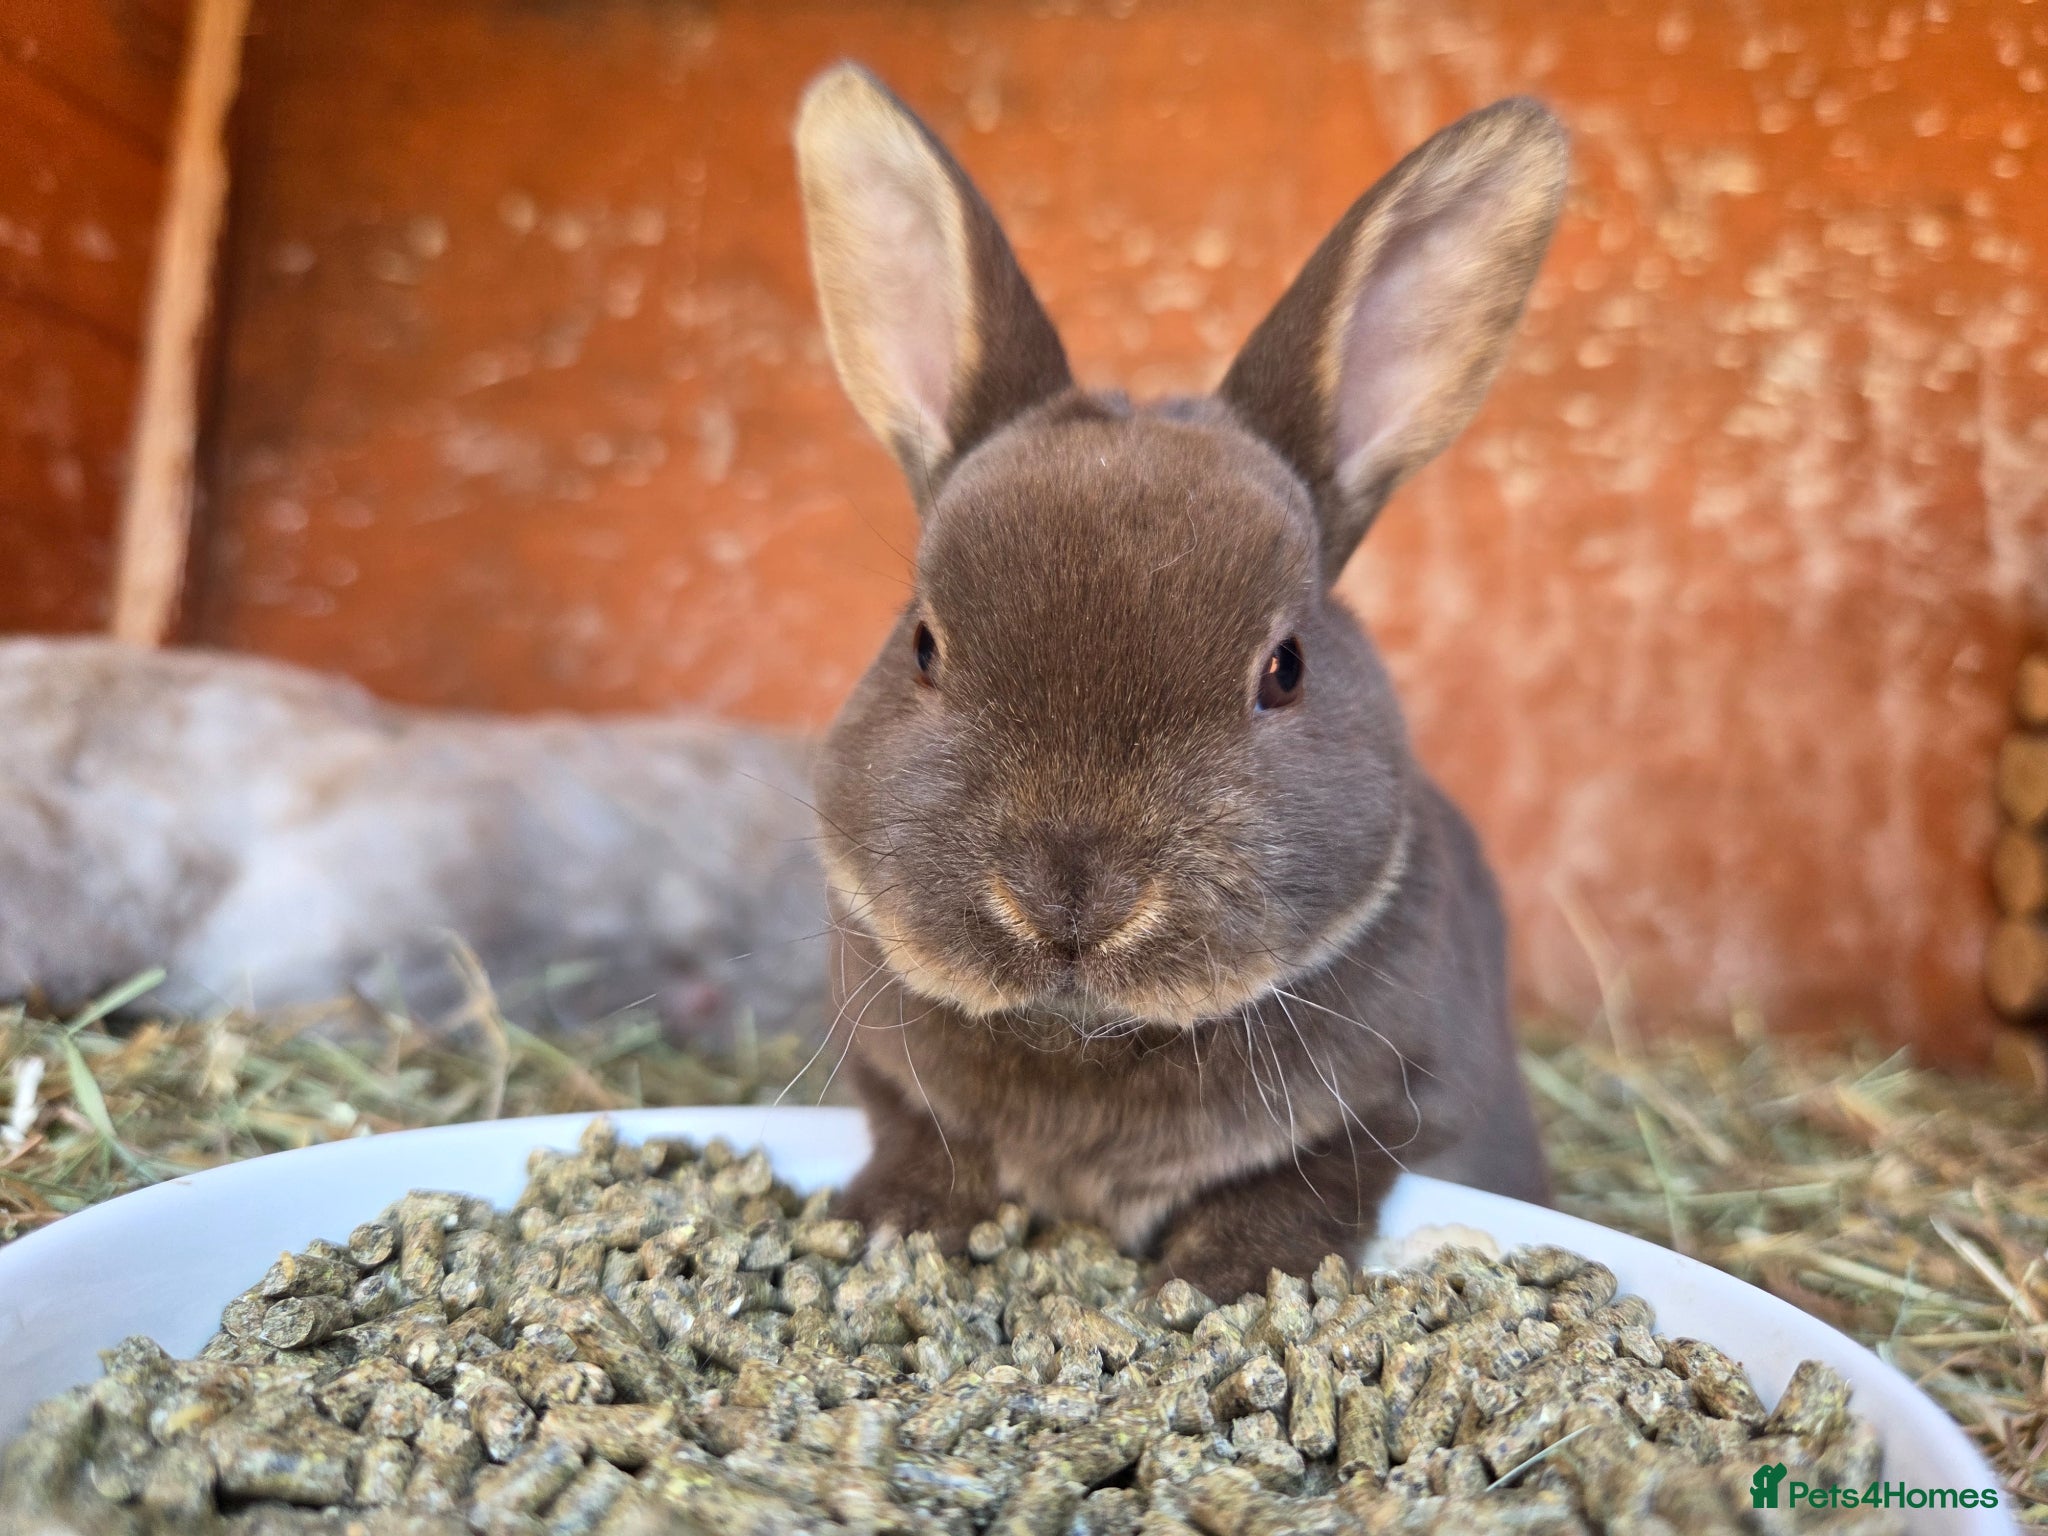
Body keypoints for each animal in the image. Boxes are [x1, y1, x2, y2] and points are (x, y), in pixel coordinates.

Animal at [794, 63, 1569, 1299]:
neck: (1089, 1039)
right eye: (922, 644)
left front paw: (1223, 1279)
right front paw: (891, 1225)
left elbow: (1323, 1172)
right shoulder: (880, 1071)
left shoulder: (1422, 1108)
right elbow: (919, 1136)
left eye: (1284, 671)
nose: (1067, 897)